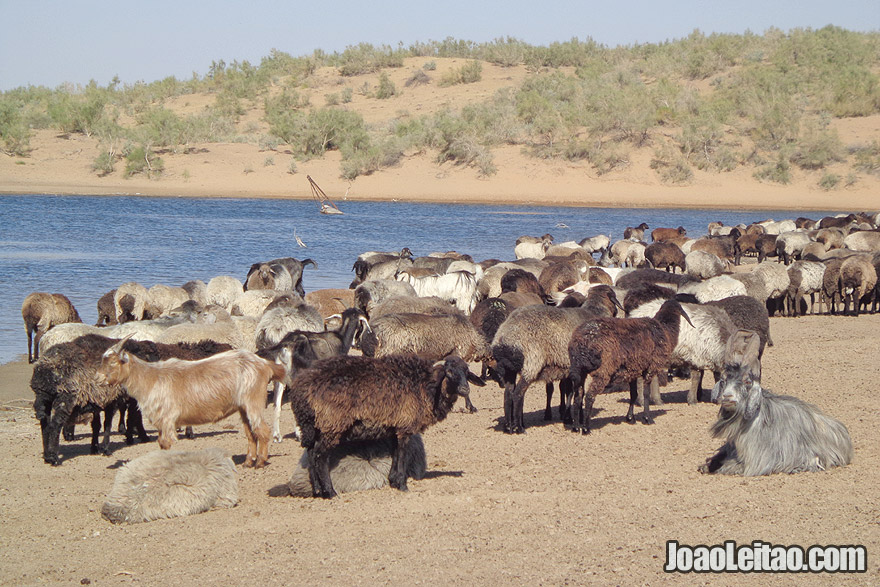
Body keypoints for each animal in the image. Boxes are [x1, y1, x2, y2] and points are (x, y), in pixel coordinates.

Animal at [97, 336, 288, 468]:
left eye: (113, 362)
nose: (98, 378)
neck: (151, 378)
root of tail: (265, 365)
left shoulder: (167, 420)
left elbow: (166, 444)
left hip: (253, 400)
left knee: (262, 430)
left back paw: (260, 462)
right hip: (243, 406)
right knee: (250, 433)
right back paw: (248, 462)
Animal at [568, 300, 692, 434]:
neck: (666, 330)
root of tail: (581, 342)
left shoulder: (633, 371)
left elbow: (634, 394)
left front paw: (630, 418)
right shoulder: (650, 369)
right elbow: (646, 393)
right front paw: (647, 418)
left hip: (579, 371)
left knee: (578, 397)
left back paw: (576, 427)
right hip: (603, 372)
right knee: (590, 396)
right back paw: (586, 428)